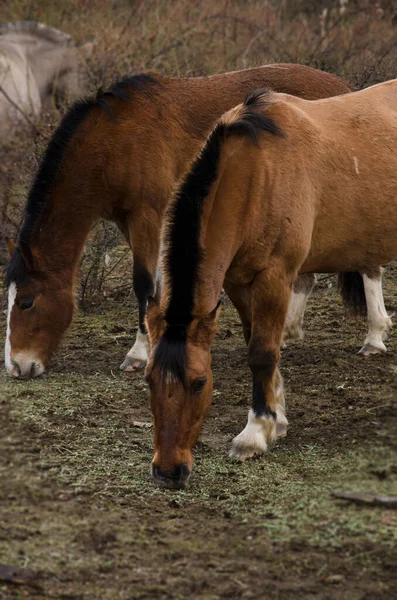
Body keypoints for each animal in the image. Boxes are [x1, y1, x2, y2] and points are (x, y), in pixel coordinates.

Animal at [4, 63, 352, 378]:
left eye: (26, 302)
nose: (16, 366)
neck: (115, 140)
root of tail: (344, 88)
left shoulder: (146, 214)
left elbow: (143, 282)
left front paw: (138, 353)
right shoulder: (129, 220)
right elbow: (157, 283)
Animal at [147, 79, 396, 490]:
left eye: (200, 383)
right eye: (149, 380)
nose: (168, 472)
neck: (255, 176)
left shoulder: (275, 276)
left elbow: (262, 352)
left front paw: (255, 432)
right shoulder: (236, 280)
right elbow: (258, 343)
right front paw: (276, 419)